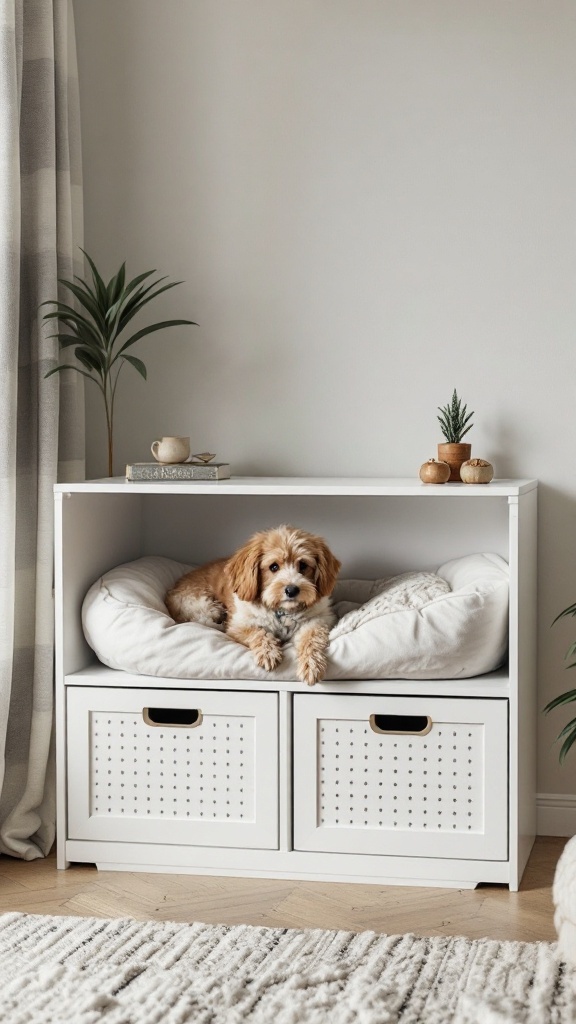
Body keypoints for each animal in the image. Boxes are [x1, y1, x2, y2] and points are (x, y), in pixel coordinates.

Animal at [163, 528, 338, 688]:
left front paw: (312, 665)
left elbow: (311, 639)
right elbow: (258, 632)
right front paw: (268, 653)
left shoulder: (319, 620)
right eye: (274, 567)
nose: (291, 590)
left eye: (303, 565)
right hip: (205, 606)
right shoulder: (238, 626)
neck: (281, 611)